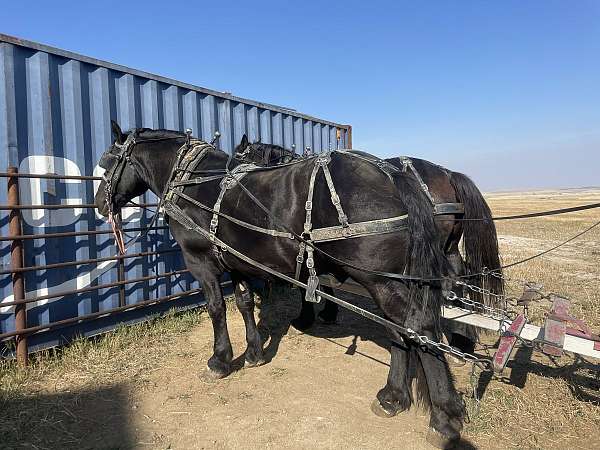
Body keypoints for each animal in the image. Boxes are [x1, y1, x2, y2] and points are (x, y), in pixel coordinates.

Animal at [96, 122, 466, 446]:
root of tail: (392, 173)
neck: (193, 182)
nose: (100, 203)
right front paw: (254, 352)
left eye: (106, 162)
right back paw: (393, 397)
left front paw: (219, 360)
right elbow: (244, 303)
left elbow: (216, 309)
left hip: (381, 281)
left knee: (418, 328)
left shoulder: (201, 262)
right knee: (401, 331)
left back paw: (443, 417)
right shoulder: (237, 262)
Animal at [233, 137, 502, 352]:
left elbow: (307, 283)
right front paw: (326, 312)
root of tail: (447, 173)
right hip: (449, 247)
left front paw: (310, 317)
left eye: (239, 156)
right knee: (458, 278)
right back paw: (461, 338)